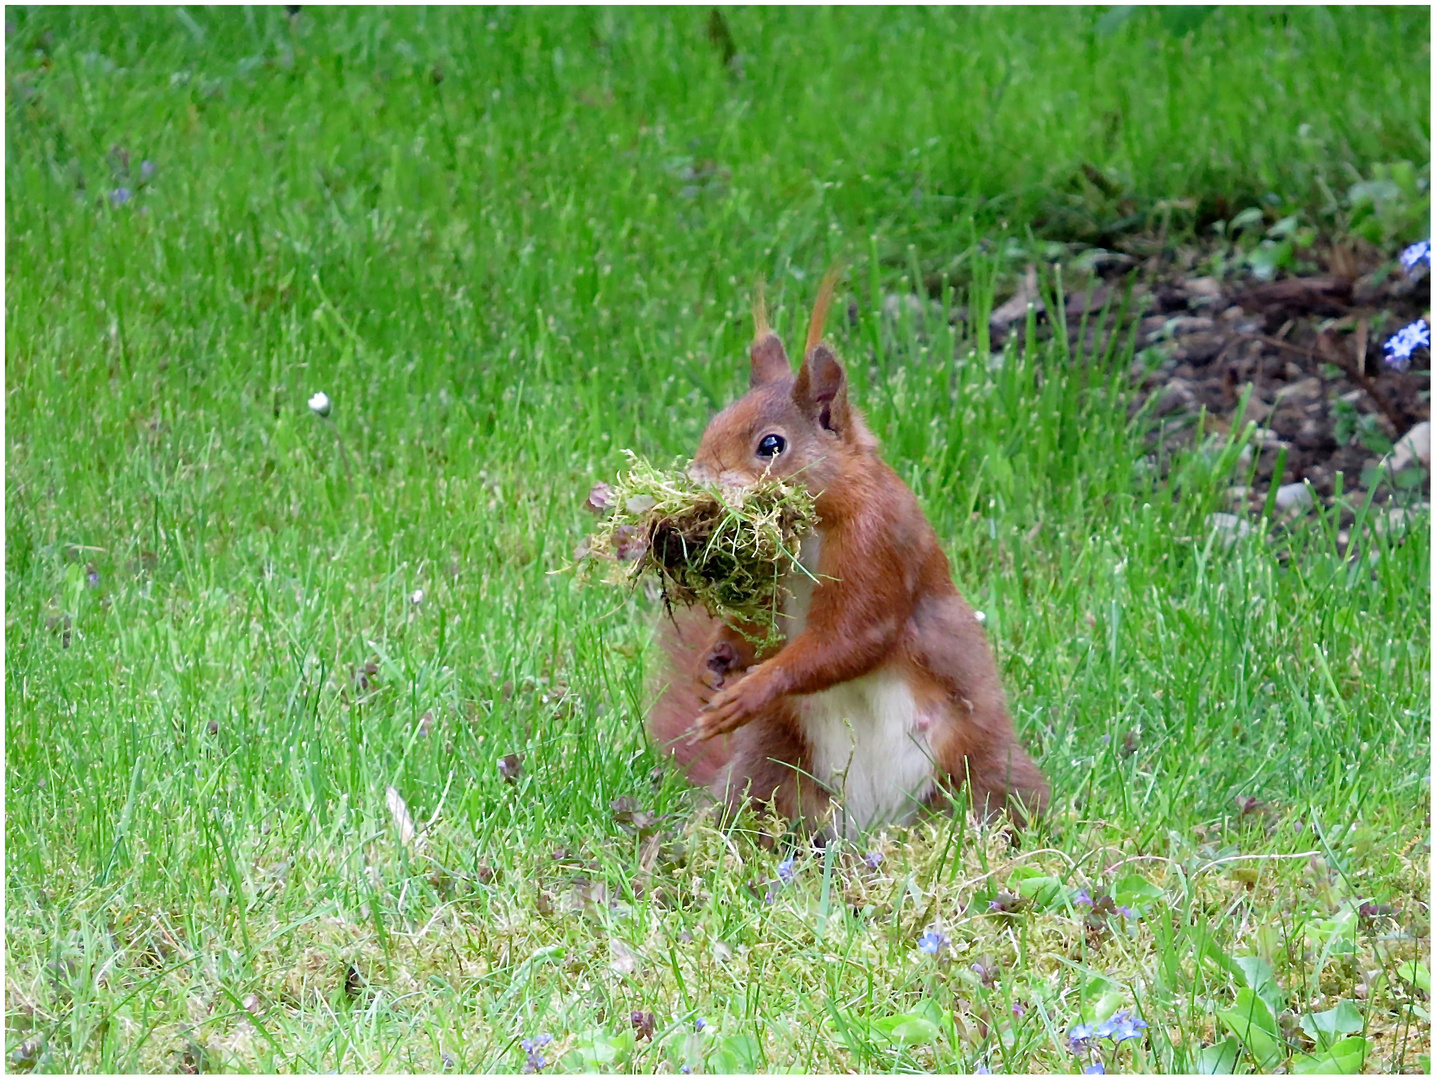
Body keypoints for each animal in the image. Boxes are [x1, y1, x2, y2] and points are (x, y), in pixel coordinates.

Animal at [649, 275, 1045, 832]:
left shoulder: (876, 542)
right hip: (769, 768)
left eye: (771, 445)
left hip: (982, 766)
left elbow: (854, 637)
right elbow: (760, 628)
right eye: (715, 421)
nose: (698, 480)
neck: (815, 526)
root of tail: (873, 828)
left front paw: (753, 690)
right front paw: (717, 661)